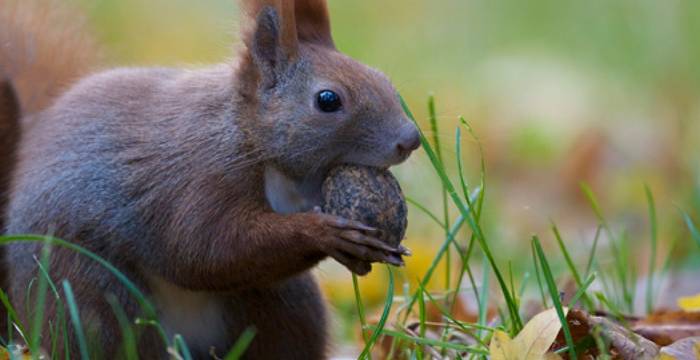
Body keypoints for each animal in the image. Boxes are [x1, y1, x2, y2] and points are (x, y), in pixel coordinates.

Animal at [0, 0, 418, 358]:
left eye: (382, 78)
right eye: (328, 100)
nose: (411, 139)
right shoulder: (200, 175)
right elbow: (205, 249)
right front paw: (325, 233)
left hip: (285, 305)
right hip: (90, 296)